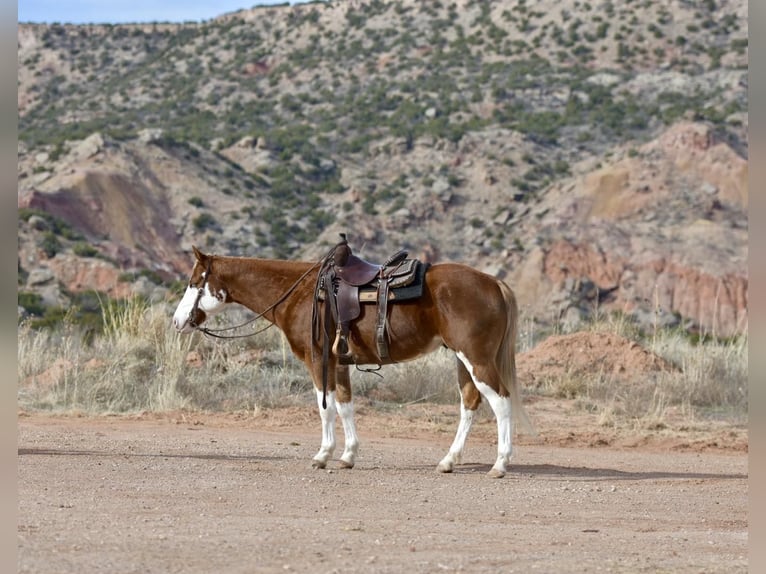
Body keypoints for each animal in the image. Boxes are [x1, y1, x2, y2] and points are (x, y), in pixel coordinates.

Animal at [172, 245, 536, 480]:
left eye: (194, 282)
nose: (178, 321)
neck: (301, 294)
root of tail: (494, 283)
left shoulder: (317, 360)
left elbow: (325, 407)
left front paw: (323, 456)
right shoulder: (339, 362)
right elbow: (345, 405)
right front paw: (347, 456)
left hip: (477, 359)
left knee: (501, 402)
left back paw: (500, 465)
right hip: (463, 360)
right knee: (470, 403)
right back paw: (448, 461)